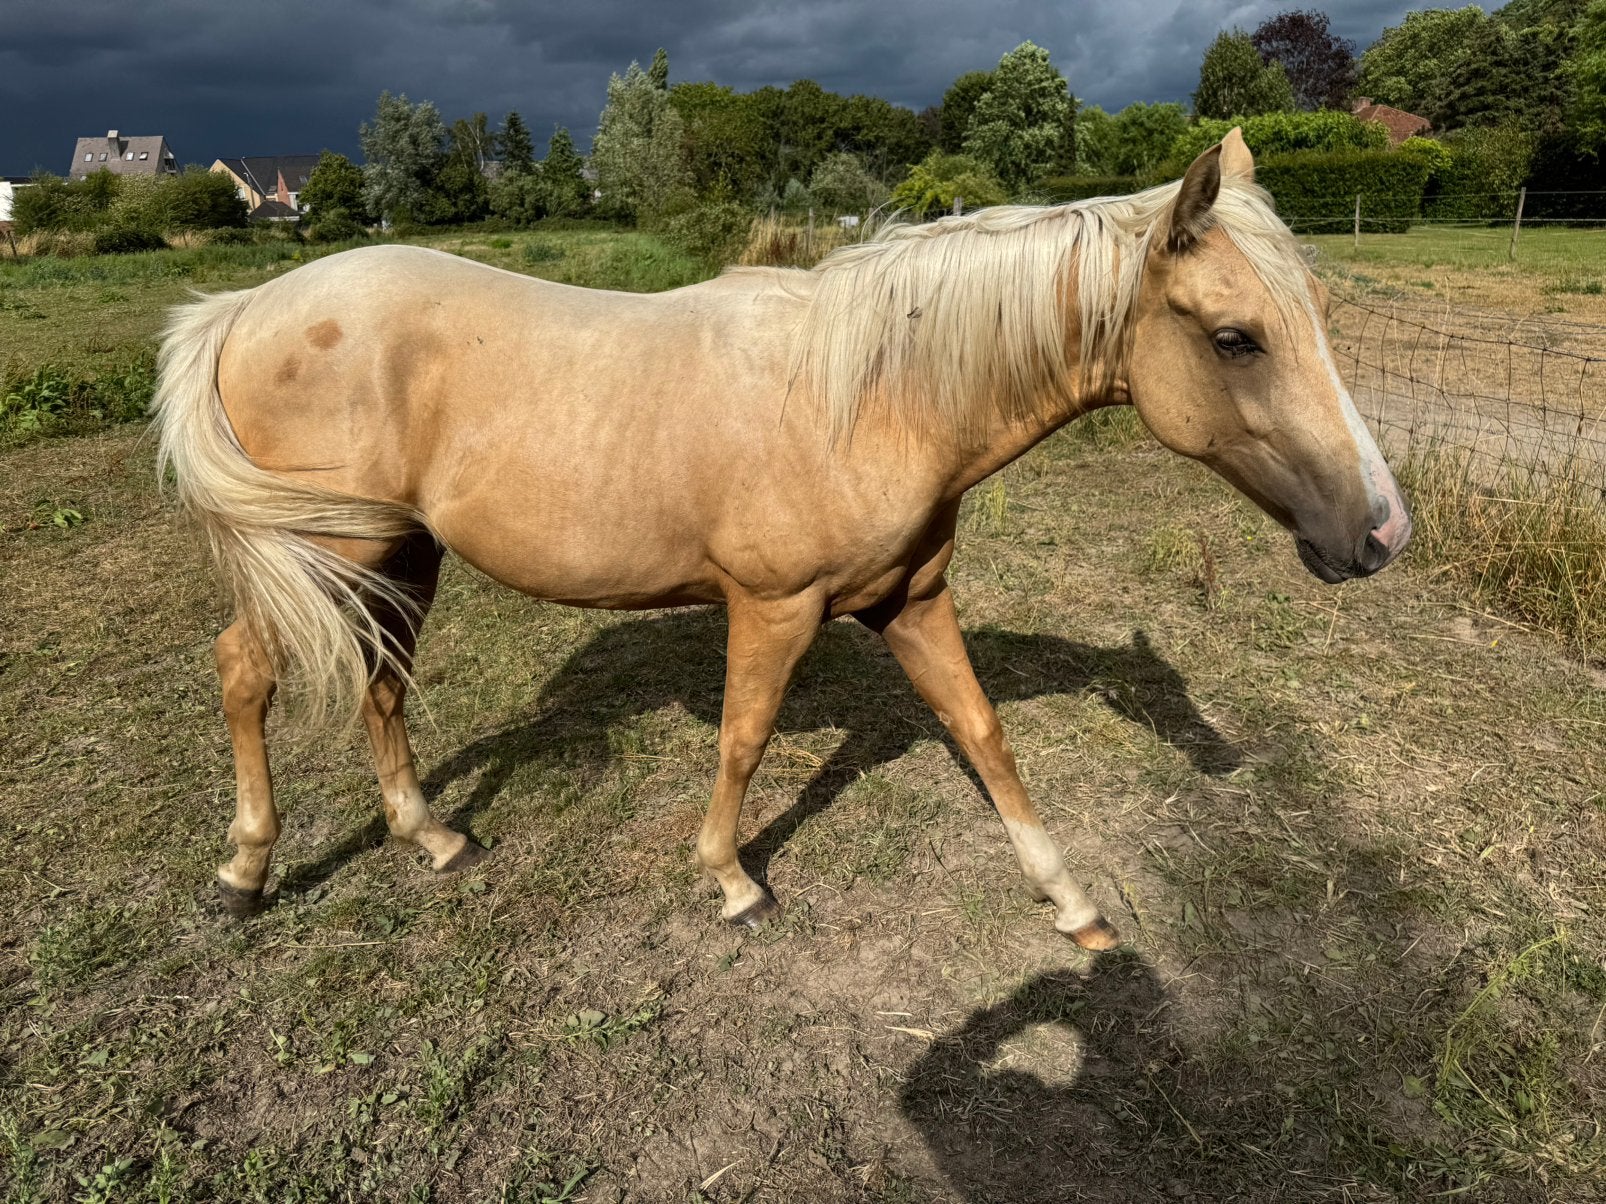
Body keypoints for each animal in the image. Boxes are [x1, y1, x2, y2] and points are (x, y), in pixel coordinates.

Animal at [152, 130, 1411, 950]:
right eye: (1236, 338)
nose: (1380, 531)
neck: (874, 396)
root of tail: (244, 309)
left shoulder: (912, 602)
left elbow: (984, 735)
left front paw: (1072, 902)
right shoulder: (775, 606)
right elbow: (743, 739)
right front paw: (733, 882)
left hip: (399, 559)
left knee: (378, 682)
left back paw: (432, 837)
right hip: (335, 560)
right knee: (245, 673)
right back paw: (244, 872)